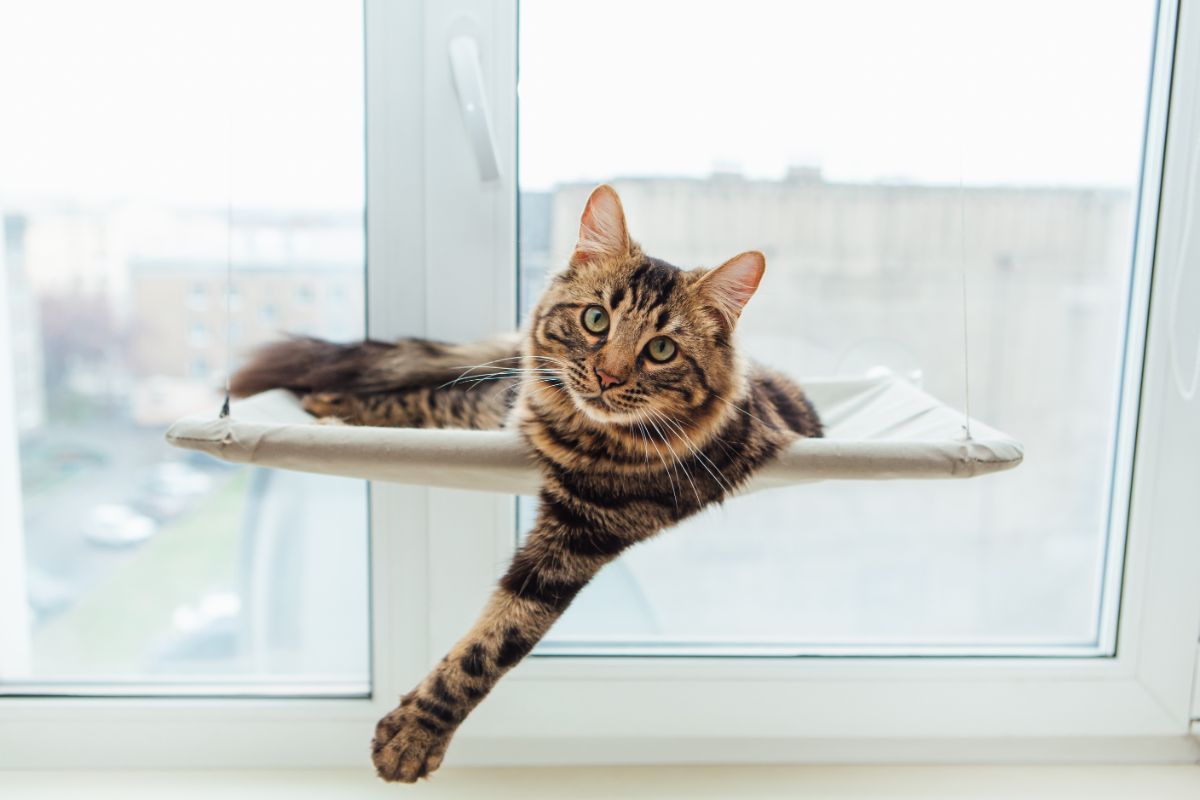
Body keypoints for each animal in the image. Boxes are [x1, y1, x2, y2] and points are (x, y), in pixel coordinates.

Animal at [229, 185, 820, 782]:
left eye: (661, 350)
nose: (607, 375)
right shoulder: (493, 409)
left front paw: (413, 736)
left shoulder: (578, 538)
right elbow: (422, 401)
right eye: (596, 319)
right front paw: (337, 405)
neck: (578, 432)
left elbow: (489, 645)